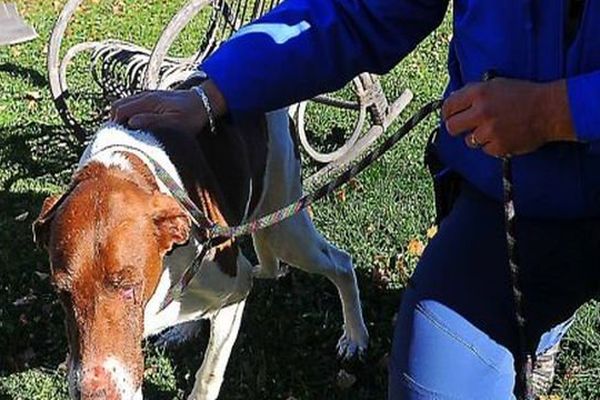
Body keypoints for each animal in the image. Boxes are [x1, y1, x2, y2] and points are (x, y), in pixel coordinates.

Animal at [34, 108, 370, 398]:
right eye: (62, 293)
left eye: (128, 286)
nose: (94, 394)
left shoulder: (235, 294)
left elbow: (209, 374)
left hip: (286, 230)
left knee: (340, 263)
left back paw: (355, 336)